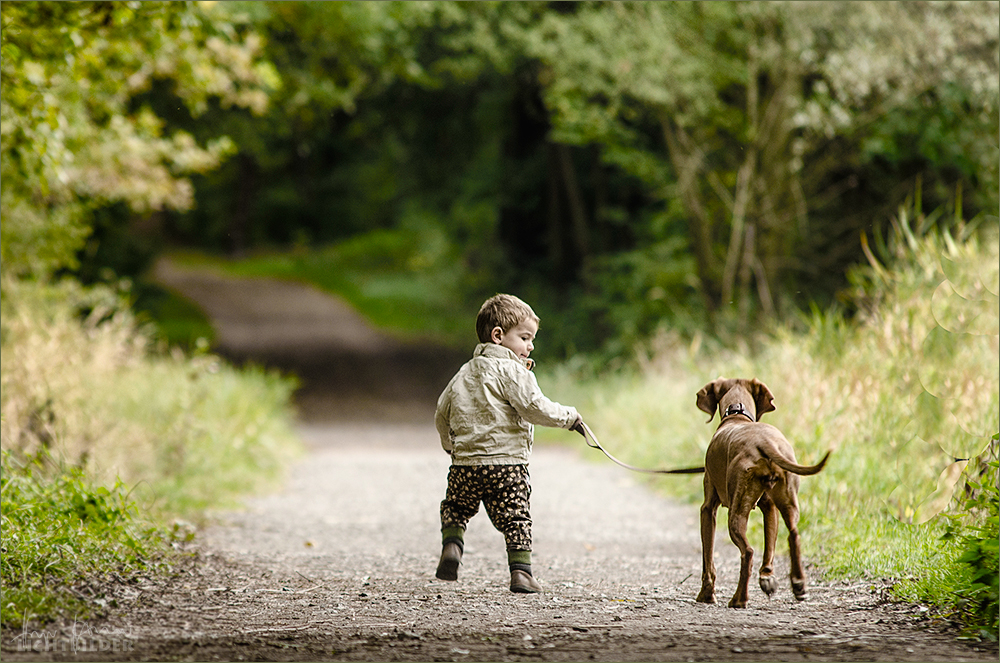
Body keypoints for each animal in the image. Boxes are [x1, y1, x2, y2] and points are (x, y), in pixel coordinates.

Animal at [696, 376, 828, 608]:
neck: (737, 414)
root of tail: (764, 442)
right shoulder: (769, 507)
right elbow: (770, 547)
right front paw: (767, 578)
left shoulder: (707, 509)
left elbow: (708, 559)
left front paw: (706, 594)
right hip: (787, 501)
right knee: (794, 535)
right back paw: (798, 584)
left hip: (736, 512)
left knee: (748, 552)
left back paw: (739, 599)